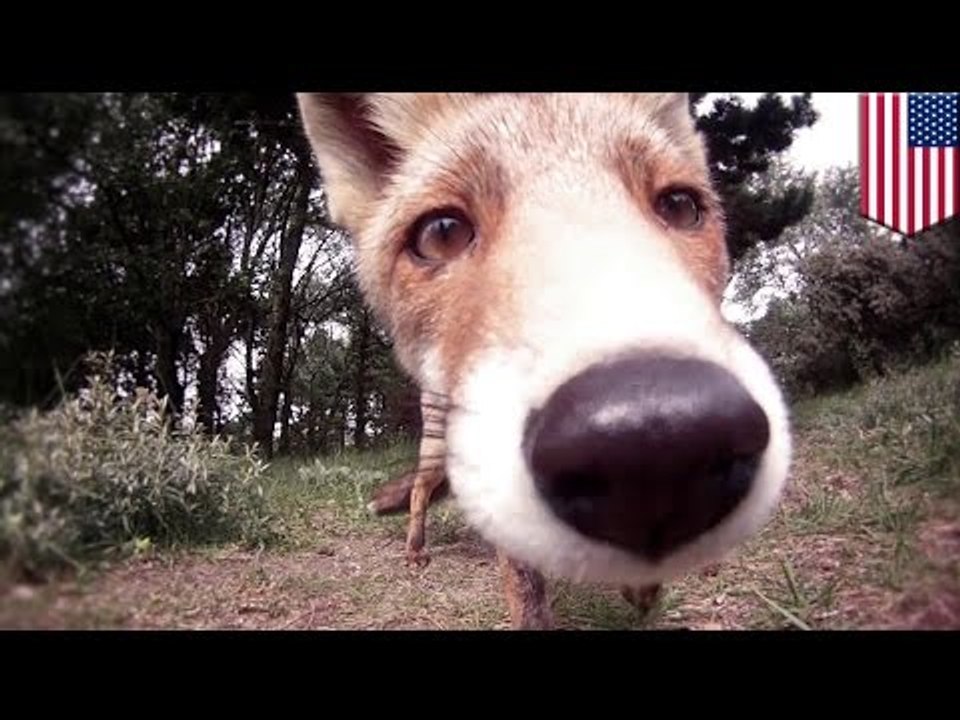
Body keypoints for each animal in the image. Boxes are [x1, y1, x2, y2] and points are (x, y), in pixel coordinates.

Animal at [295, 93, 793, 629]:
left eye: (680, 206)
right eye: (442, 234)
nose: (657, 437)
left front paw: (645, 586)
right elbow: (528, 597)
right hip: (436, 451)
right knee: (419, 494)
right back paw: (415, 550)